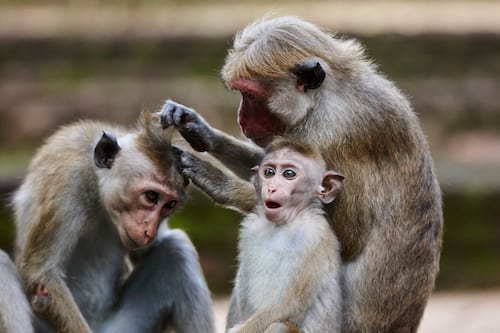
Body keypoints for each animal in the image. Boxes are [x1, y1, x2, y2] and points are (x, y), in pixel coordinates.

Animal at [227, 139, 344, 332]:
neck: (283, 224)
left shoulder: (313, 237)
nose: (271, 188)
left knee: (278, 326)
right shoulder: (250, 229)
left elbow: (288, 305)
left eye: (289, 174)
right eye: (269, 172)